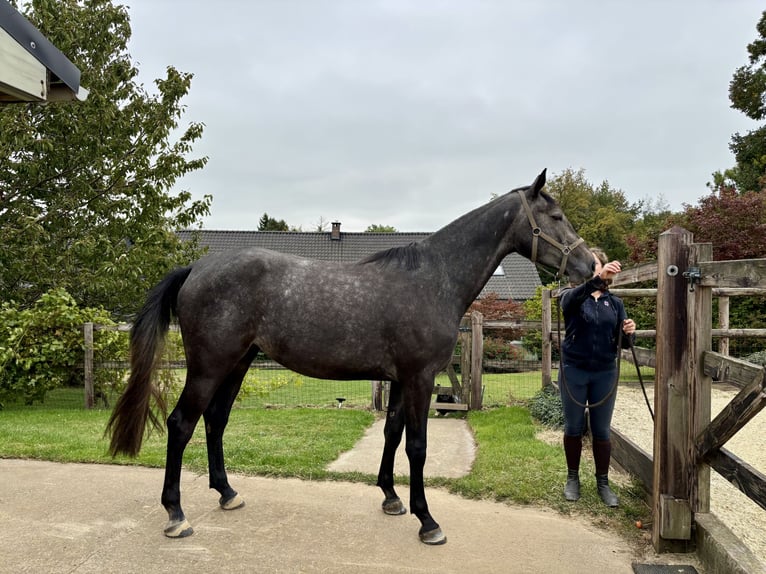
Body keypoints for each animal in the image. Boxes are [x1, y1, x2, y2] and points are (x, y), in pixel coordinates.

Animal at [106, 169, 594, 545]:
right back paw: (176, 515)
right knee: (181, 424)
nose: (590, 265)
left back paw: (227, 493)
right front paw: (428, 521)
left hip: (237, 364)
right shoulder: (419, 378)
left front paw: (392, 498)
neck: (433, 278)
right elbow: (417, 446)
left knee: (215, 422)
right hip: (210, 366)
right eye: (555, 216)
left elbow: (392, 434)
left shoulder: (400, 379)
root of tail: (197, 269)